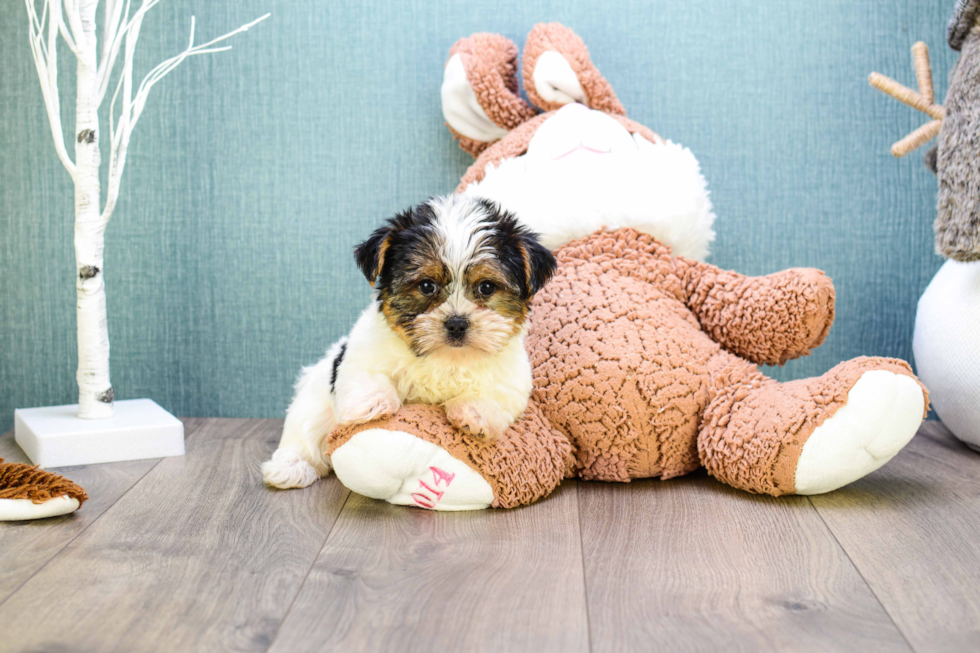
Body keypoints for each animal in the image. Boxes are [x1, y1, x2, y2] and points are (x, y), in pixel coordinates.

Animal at [260, 196, 556, 486]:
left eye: (486, 287)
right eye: (426, 286)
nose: (457, 323)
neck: (445, 356)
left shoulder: (511, 378)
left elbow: (495, 395)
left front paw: (474, 413)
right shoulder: (362, 352)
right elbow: (367, 375)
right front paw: (373, 403)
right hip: (313, 400)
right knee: (304, 431)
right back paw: (290, 467)